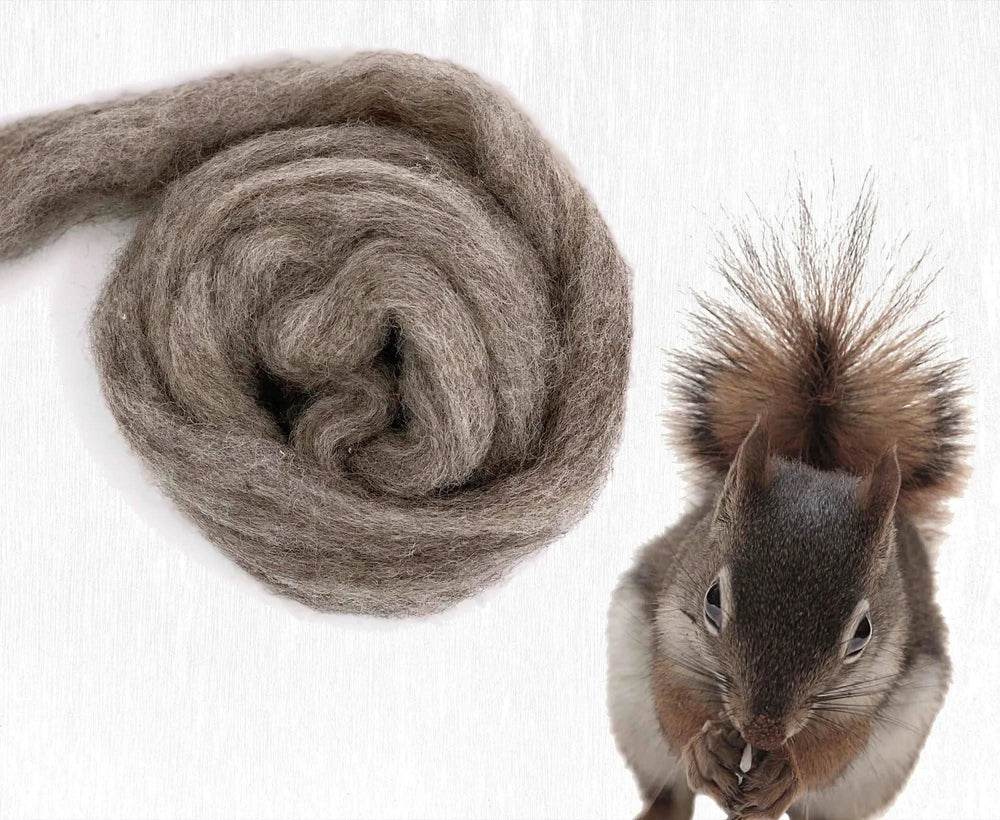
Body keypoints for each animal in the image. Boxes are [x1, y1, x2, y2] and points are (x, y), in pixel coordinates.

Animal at [606, 188, 970, 820]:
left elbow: (834, 748)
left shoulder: (870, 691)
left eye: (863, 633)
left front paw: (788, 770)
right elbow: (675, 705)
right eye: (712, 600)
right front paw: (705, 752)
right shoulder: (670, 633)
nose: (765, 731)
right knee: (668, 789)